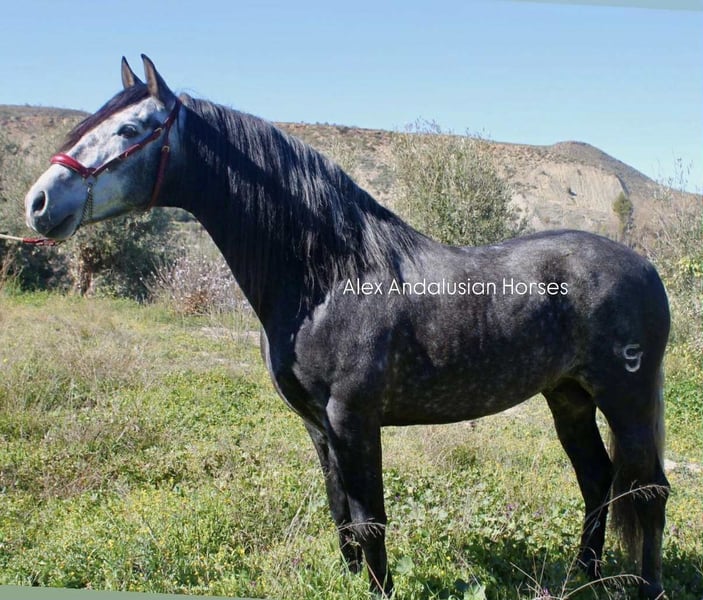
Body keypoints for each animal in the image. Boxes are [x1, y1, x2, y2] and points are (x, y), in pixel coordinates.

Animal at [24, 55, 671, 599]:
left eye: (132, 129)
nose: (37, 203)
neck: (330, 277)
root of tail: (645, 267)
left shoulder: (354, 420)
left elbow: (371, 523)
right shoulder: (319, 427)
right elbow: (342, 519)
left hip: (628, 398)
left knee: (651, 491)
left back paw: (645, 587)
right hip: (568, 397)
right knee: (598, 482)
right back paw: (580, 578)